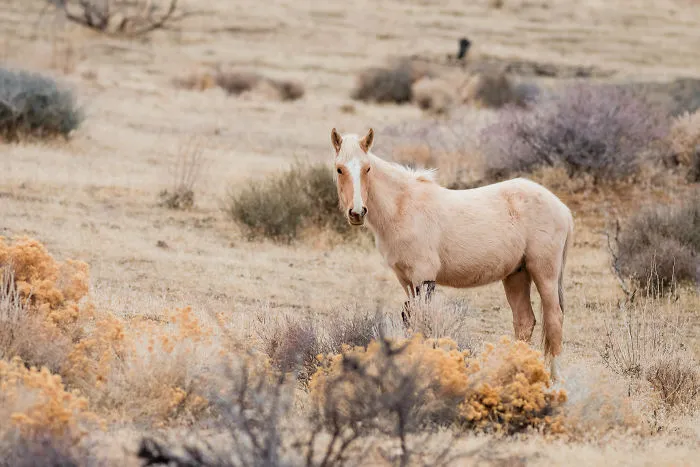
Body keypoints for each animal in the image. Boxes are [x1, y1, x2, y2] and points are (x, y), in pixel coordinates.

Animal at [330, 128, 574, 379]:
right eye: (339, 169)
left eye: (367, 168)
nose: (357, 213)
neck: (403, 207)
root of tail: (562, 209)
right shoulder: (406, 280)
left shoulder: (424, 277)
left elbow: (424, 324)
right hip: (516, 275)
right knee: (524, 321)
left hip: (544, 273)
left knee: (554, 320)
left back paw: (555, 380)